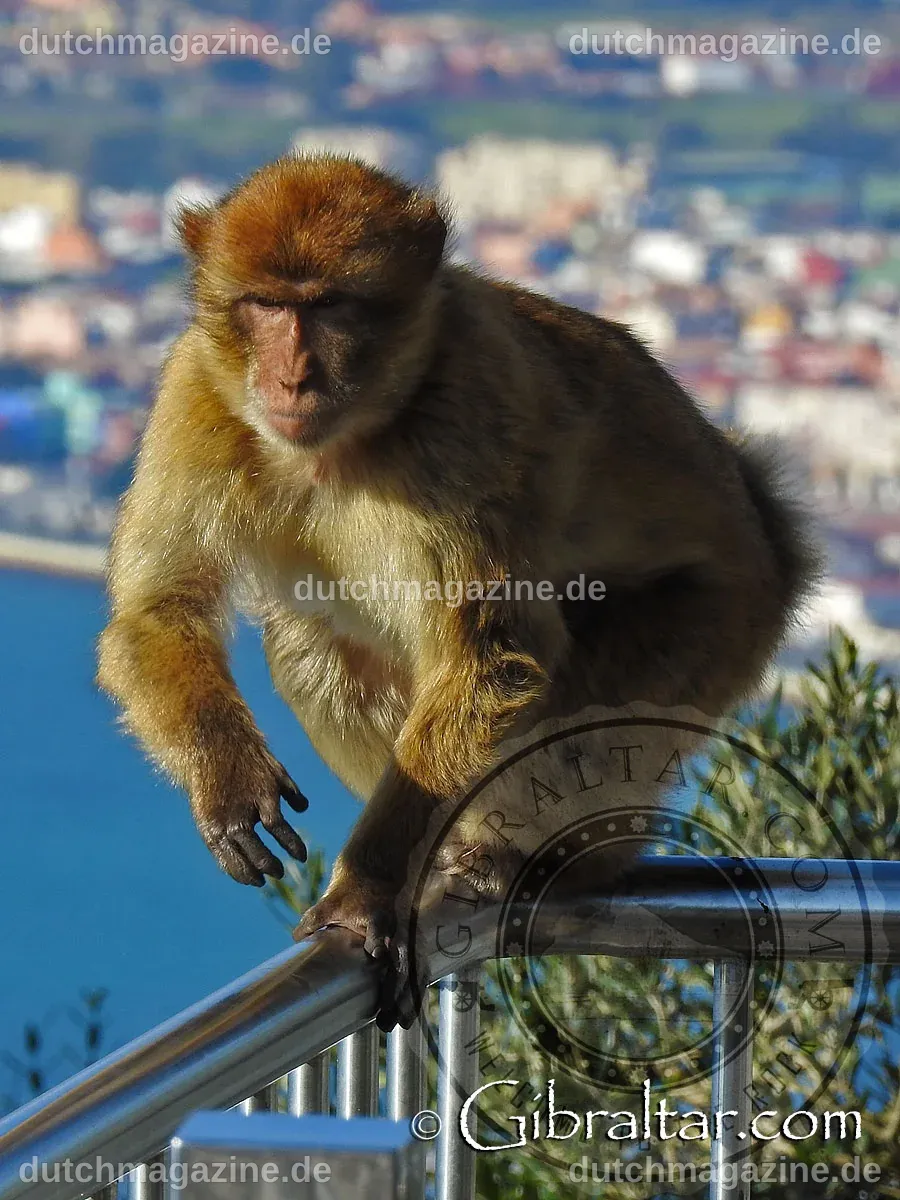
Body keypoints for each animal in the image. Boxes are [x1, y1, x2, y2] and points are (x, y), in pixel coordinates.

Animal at [96, 153, 821, 1030]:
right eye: (266, 305)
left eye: (329, 307)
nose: (292, 376)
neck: (348, 440)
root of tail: (770, 528)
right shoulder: (196, 389)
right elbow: (157, 609)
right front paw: (226, 780)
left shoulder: (471, 414)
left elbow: (494, 657)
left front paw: (369, 889)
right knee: (315, 647)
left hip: (716, 623)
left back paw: (543, 858)